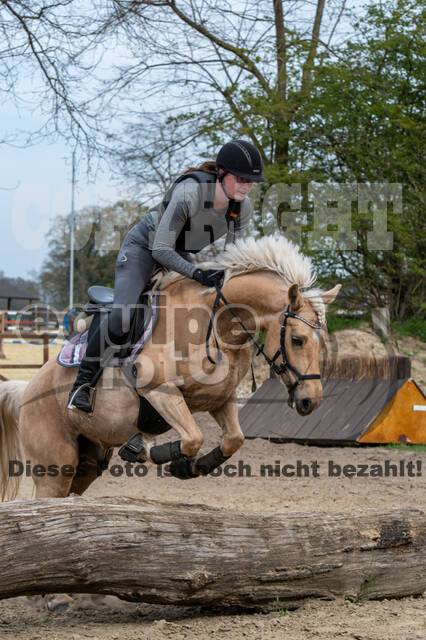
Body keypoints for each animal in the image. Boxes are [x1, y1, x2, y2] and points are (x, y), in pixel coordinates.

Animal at [0, 235, 340, 500]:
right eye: (297, 340)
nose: (310, 401)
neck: (216, 326)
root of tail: (27, 389)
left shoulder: (221, 400)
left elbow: (233, 439)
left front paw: (189, 467)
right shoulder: (159, 391)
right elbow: (192, 438)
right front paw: (147, 451)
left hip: (87, 464)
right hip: (55, 468)